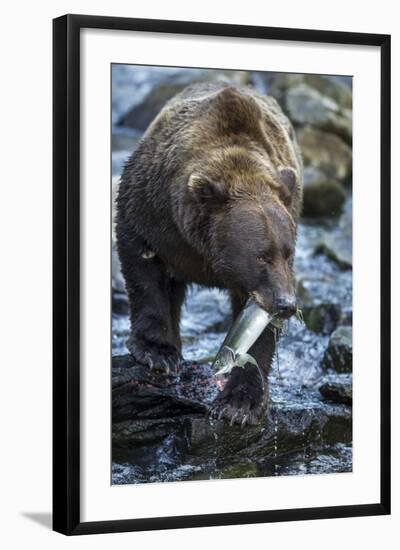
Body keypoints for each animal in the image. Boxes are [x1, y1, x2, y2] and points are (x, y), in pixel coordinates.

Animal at [116, 81, 304, 426]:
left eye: (287, 252)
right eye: (261, 255)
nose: (286, 304)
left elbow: (255, 332)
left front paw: (239, 404)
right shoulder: (153, 210)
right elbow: (142, 265)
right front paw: (156, 352)